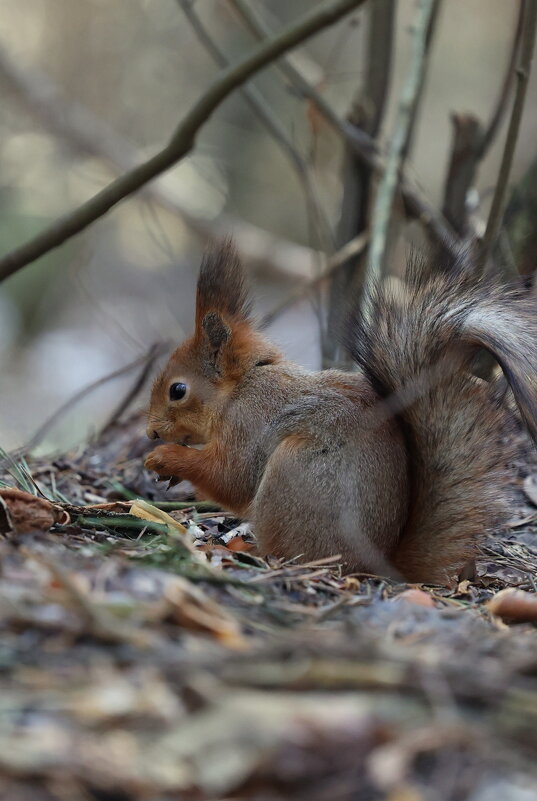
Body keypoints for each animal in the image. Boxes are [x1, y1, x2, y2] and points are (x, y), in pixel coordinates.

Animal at [144, 241, 536, 584]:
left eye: (177, 391)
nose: (150, 432)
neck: (242, 386)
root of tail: (376, 565)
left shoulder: (250, 421)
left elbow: (230, 477)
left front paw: (164, 458)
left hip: (294, 471)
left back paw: (256, 553)